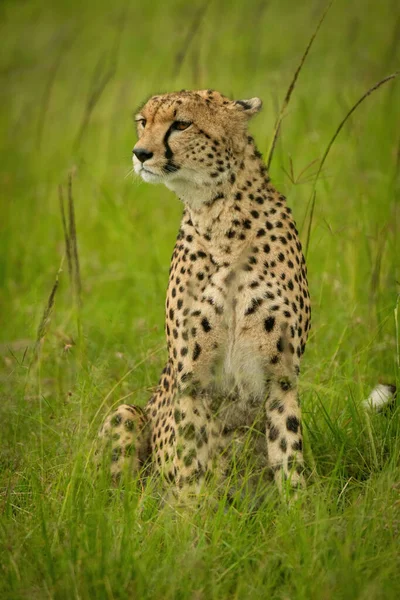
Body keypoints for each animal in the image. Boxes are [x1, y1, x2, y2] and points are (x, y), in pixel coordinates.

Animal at [98, 90, 310, 502]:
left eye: (181, 124)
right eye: (143, 122)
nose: (140, 153)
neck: (222, 219)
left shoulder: (282, 376)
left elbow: (288, 448)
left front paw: (299, 508)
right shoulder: (190, 378)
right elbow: (189, 458)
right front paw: (189, 513)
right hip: (126, 414)